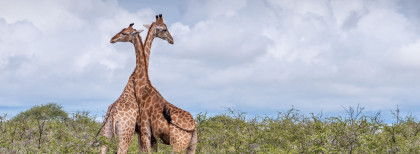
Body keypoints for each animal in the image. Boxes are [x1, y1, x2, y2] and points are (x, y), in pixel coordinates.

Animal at [99, 22, 144, 154]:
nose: (112, 39)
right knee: (121, 150)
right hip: (125, 134)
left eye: (124, 32)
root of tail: (113, 116)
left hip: (106, 131)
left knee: (103, 149)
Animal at [135, 14, 198, 153]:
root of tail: (194, 126)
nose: (172, 40)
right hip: (191, 145)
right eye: (164, 29)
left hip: (178, 144)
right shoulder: (145, 134)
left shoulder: (145, 132)